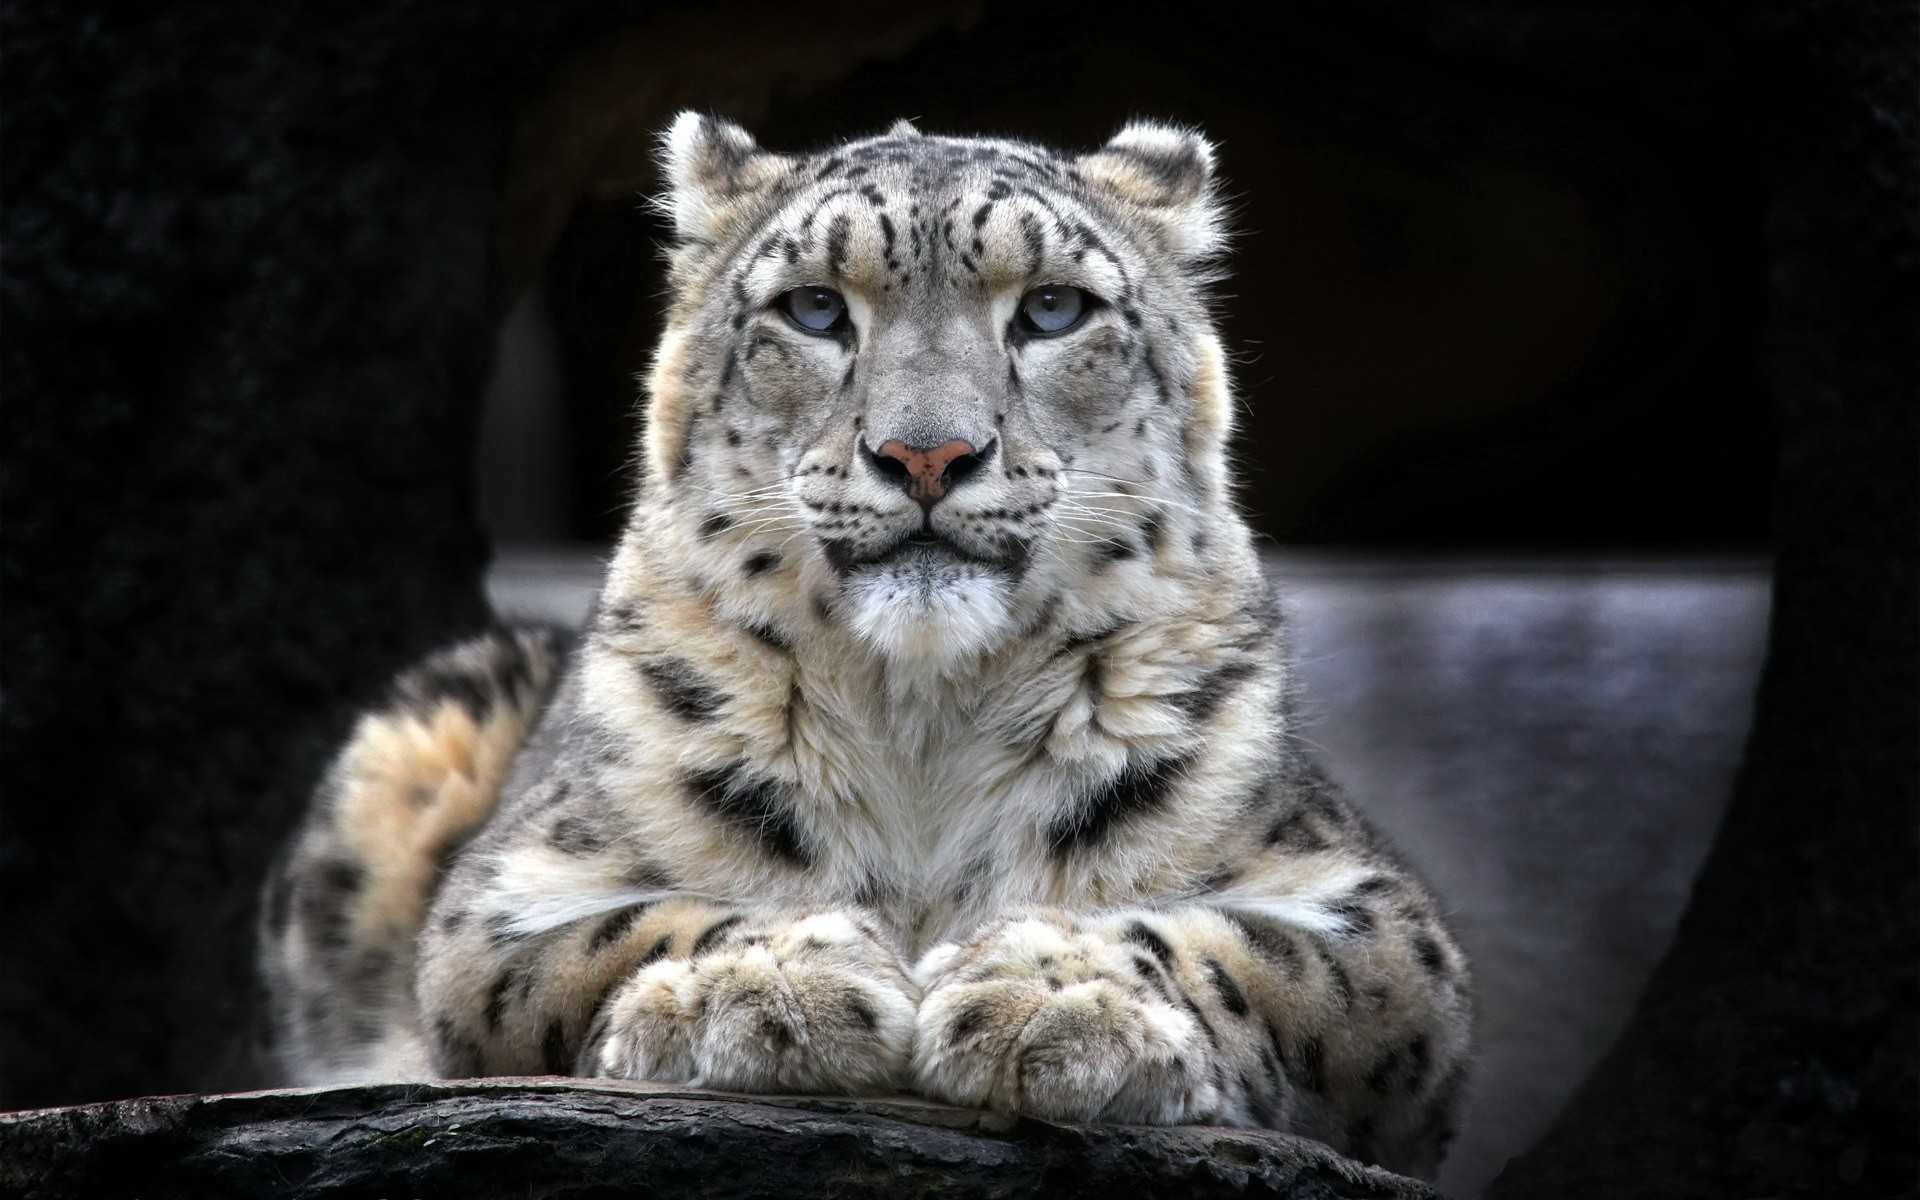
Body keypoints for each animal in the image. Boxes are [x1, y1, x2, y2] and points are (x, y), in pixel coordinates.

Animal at [258, 112, 1473, 1179]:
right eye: (812, 309)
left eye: (1052, 309)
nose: (926, 454)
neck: (924, 723)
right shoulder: (508, 893)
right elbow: (625, 929)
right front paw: (767, 984)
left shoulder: (1373, 913)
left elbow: (1248, 949)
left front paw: (1054, 994)